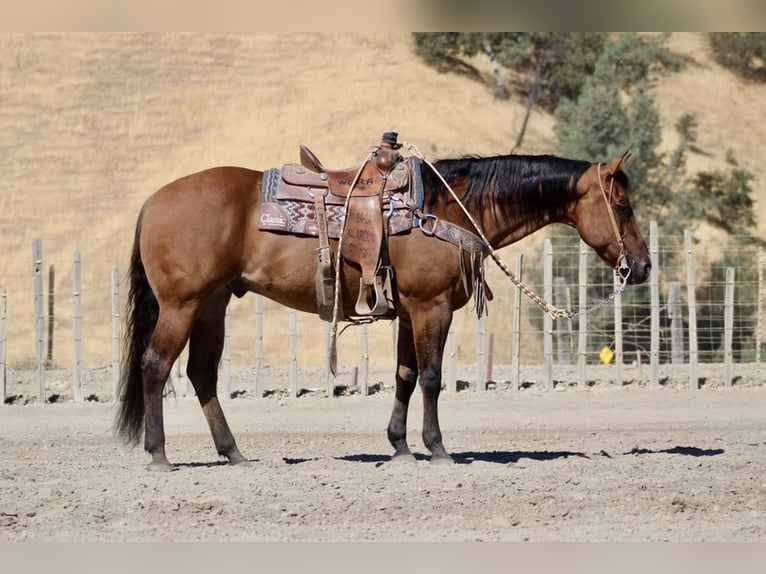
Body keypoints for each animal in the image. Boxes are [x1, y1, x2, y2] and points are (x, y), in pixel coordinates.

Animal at [115, 142, 656, 470]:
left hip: (213, 304)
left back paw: (234, 454)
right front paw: (437, 449)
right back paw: (159, 455)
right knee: (155, 365)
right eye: (622, 205)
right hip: (182, 305)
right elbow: (433, 378)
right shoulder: (433, 307)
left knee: (201, 374)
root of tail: (153, 200)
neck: (446, 207)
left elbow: (406, 376)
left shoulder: (411, 311)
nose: (643, 266)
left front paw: (399, 447)